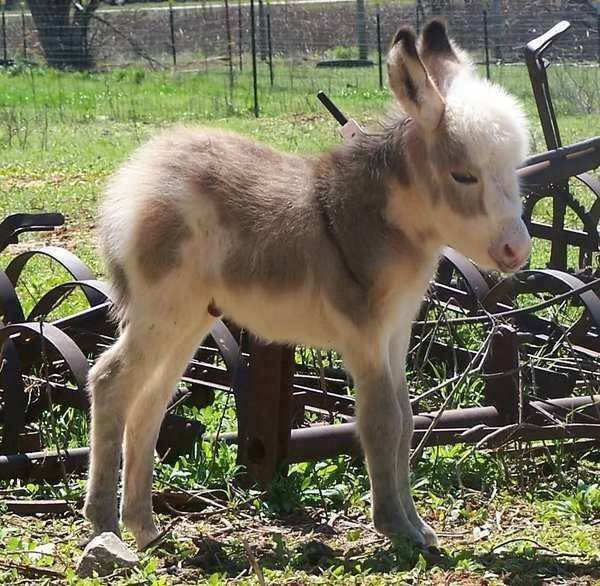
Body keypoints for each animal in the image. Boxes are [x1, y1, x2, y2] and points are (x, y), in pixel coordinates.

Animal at [83, 19, 528, 548]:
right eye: (463, 176)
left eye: (513, 169)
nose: (518, 252)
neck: (384, 222)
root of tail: (135, 177)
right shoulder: (363, 337)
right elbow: (382, 420)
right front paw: (395, 528)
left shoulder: (396, 334)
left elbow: (406, 421)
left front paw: (417, 526)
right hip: (161, 311)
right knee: (109, 382)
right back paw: (104, 526)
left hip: (187, 318)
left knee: (148, 403)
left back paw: (144, 527)